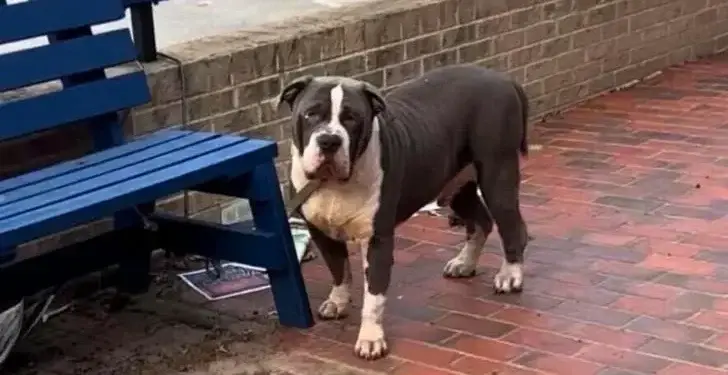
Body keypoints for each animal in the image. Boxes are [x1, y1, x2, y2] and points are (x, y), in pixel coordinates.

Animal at [278, 65, 528, 362]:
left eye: (352, 118)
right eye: (310, 114)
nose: (329, 140)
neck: (334, 184)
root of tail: (504, 78)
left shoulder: (377, 240)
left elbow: (374, 296)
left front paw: (371, 339)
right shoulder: (320, 232)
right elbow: (339, 269)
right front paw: (338, 301)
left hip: (497, 175)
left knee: (512, 227)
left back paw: (510, 275)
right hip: (456, 186)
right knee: (481, 221)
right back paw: (464, 263)